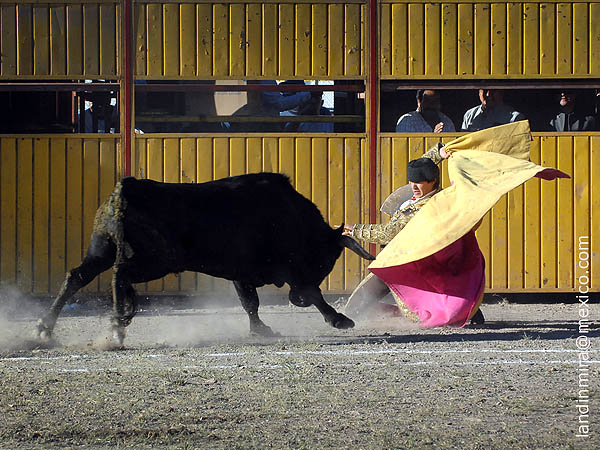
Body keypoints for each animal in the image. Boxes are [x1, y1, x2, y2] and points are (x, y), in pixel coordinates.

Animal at [36, 174, 376, 342]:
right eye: (324, 261)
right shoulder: (289, 270)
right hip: (157, 260)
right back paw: (117, 327)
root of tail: (125, 188)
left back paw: (44, 327)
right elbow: (314, 292)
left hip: (101, 251)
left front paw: (260, 330)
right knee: (120, 275)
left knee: (77, 276)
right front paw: (339, 319)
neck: (292, 216)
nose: (297, 303)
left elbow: (250, 302)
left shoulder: (241, 273)